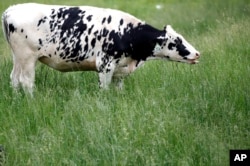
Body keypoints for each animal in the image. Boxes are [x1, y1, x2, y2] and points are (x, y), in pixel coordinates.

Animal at [1, 2, 199, 94]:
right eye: (176, 41)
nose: (197, 53)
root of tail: (11, 9)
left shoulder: (120, 69)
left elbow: (119, 89)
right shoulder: (105, 65)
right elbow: (104, 89)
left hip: (18, 58)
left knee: (14, 79)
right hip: (27, 57)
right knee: (26, 81)